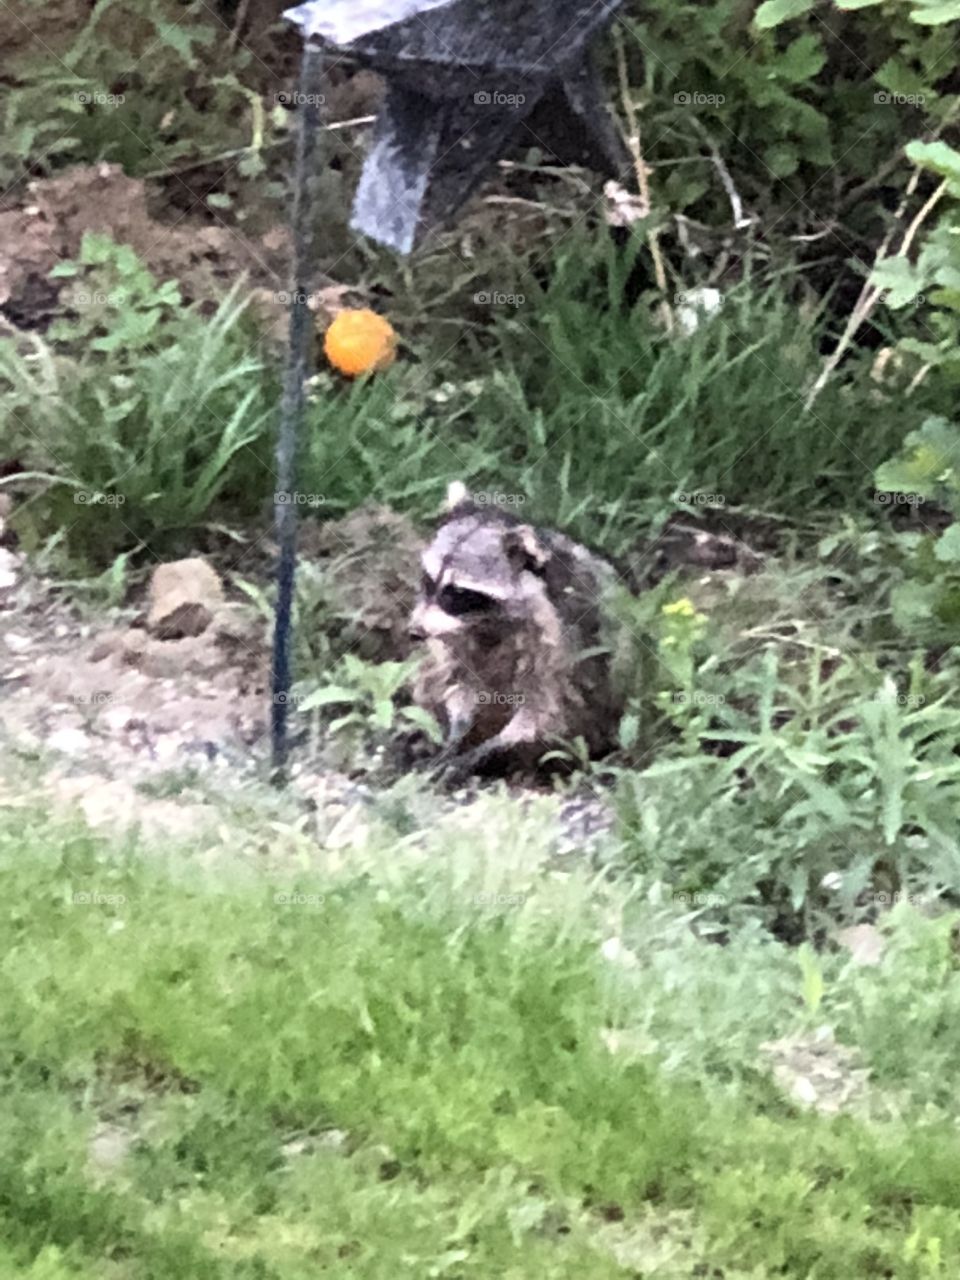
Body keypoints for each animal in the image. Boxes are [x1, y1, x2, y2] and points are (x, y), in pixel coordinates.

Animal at [408, 482, 624, 777]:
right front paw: (456, 732)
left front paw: (489, 747)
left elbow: (544, 709)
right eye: (428, 581)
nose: (415, 632)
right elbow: (460, 684)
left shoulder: (558, 639)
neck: (484, 622)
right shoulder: (456, 638)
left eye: (458, 593)